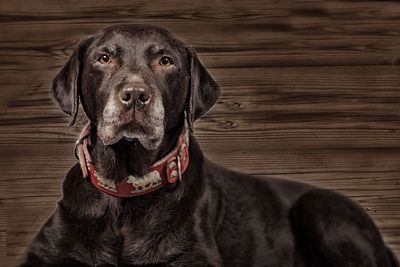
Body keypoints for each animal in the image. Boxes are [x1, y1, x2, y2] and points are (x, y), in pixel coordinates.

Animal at [19, 24, 400, 266]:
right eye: (103, 58)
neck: (127, 190)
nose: (136, 96)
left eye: (166, 61)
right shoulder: (44, 254)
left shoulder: (194, 257)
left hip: (318, 206)